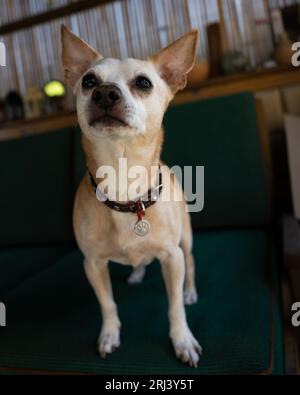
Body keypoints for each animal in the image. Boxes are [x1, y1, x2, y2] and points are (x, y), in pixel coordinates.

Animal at [60, 25, 202, 368]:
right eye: (88, 81)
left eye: (143, 83)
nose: (104, 92)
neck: (123, 184)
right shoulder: (93, 265)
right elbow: (107, 304)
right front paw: (109, 334)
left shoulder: (172, 258)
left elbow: (174, 307)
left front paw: (182, 340)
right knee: (139, 260)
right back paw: (137, 272)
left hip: (186, 239)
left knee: (191, 262)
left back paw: (190, 291)